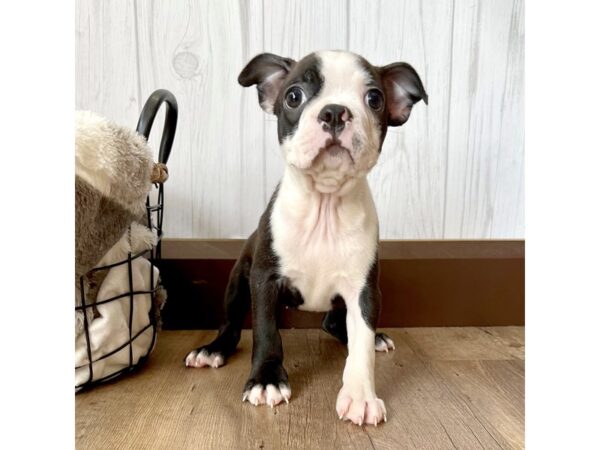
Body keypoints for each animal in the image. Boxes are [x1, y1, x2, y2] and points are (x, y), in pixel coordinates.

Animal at [185, 51, 424, 428]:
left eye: (374, 99)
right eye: (294, 96)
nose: (335, 111)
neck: (324, 206)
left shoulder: (364, 291)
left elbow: (361, 345)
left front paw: (361, 396)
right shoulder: (264, 279)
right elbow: (266, 332)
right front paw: (266, 380)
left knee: (336, 324)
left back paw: (376, 338)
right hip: (238, 282)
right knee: (233, 326)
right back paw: (213, 349)